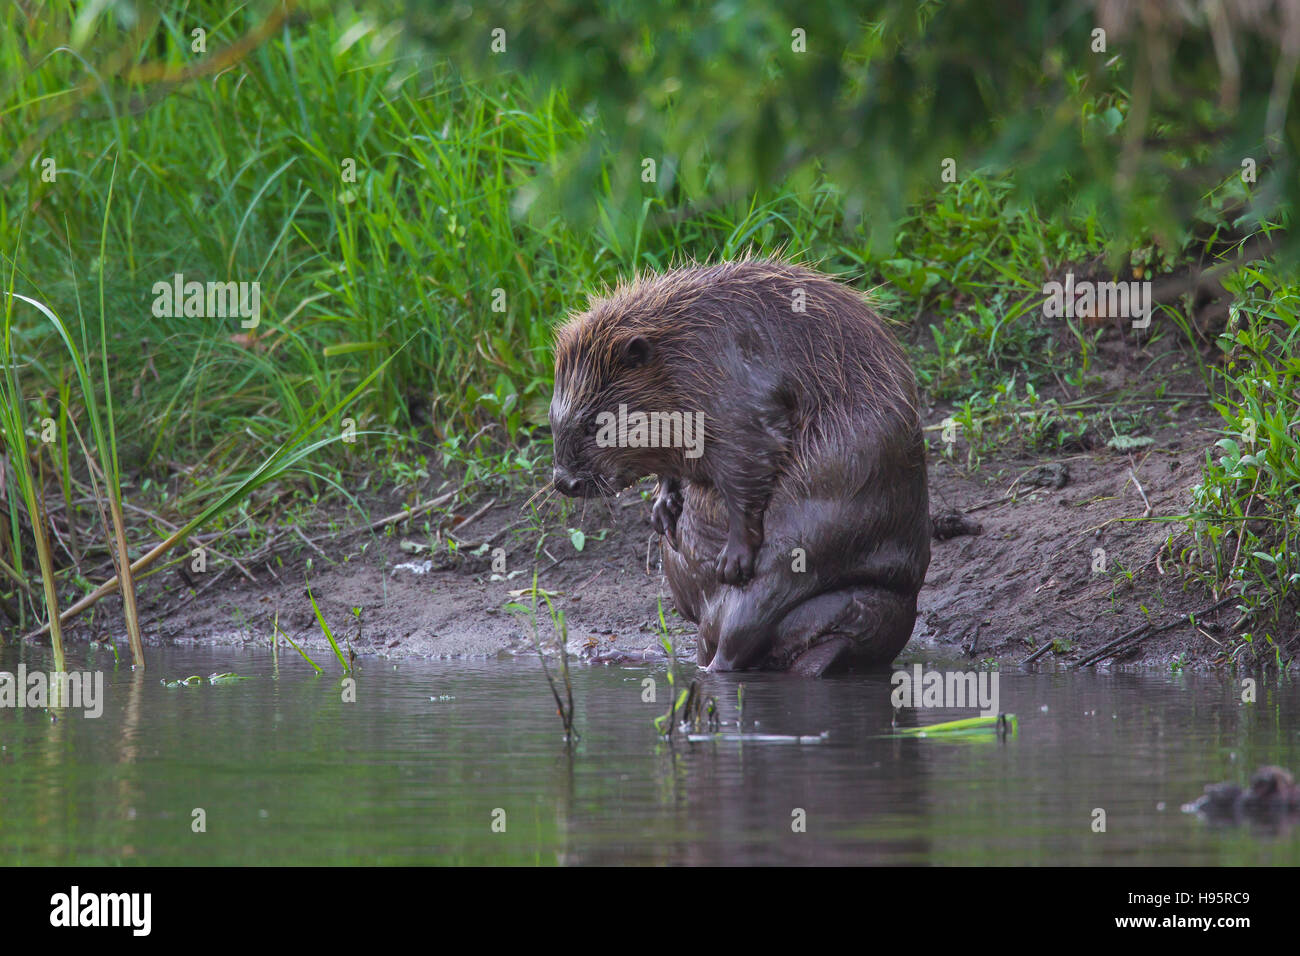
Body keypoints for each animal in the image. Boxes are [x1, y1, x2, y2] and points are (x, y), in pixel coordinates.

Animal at [553, 256, 930, 671]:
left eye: (593, 423)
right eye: (554, 418)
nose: (564, 482)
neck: (679, 349)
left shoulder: (734, 389)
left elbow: (750, 459)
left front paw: (732, 558)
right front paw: (663, 509)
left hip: (802, 546)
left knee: (743, 629)